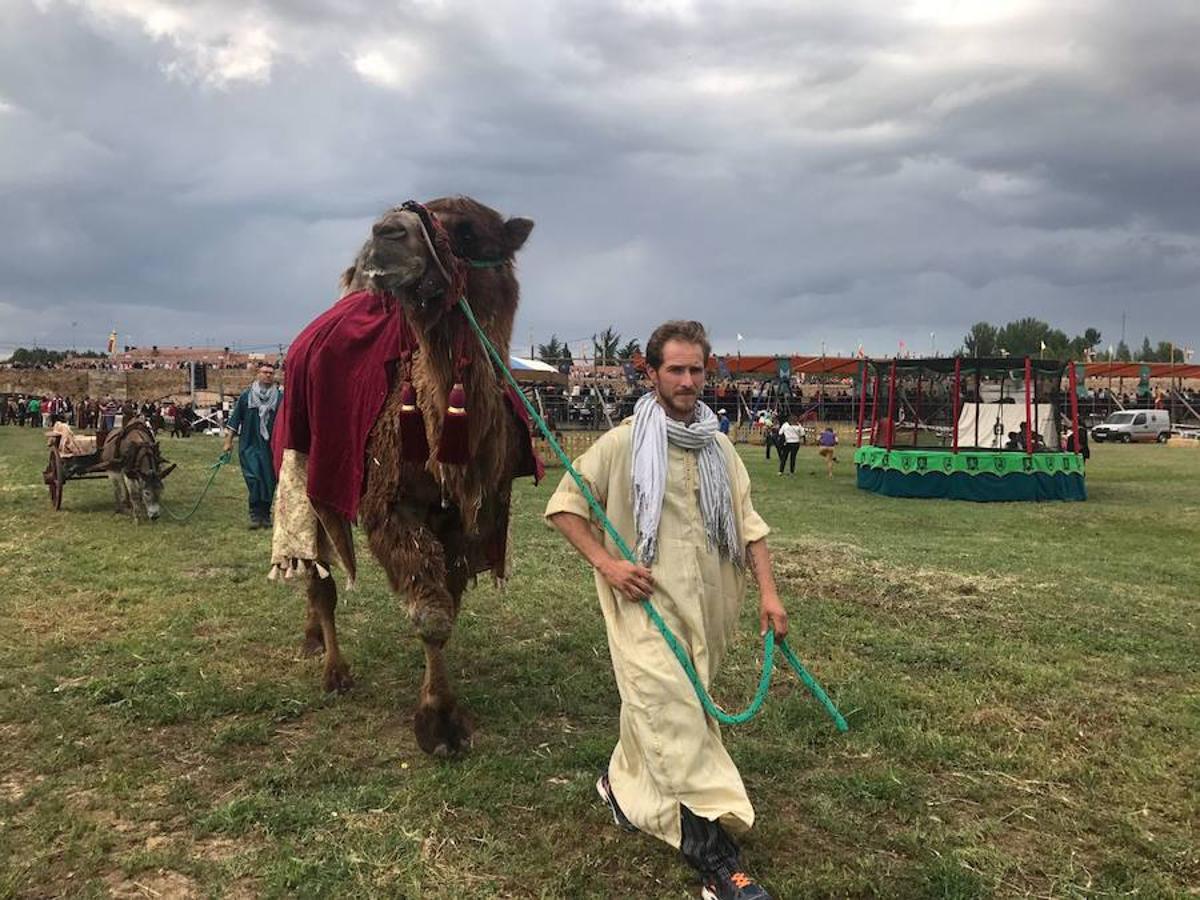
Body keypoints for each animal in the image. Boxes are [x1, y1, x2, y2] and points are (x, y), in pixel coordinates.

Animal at [274, 196, 537, 753]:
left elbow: (447, 606)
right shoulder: (390, 505)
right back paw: (334, 670)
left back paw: (313, 639)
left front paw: (443, 711)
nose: (385, 234)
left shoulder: (466, 518)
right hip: (302, 470)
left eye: (467, 230)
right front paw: (438, 722)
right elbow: (431, 614)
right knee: (318, 570)